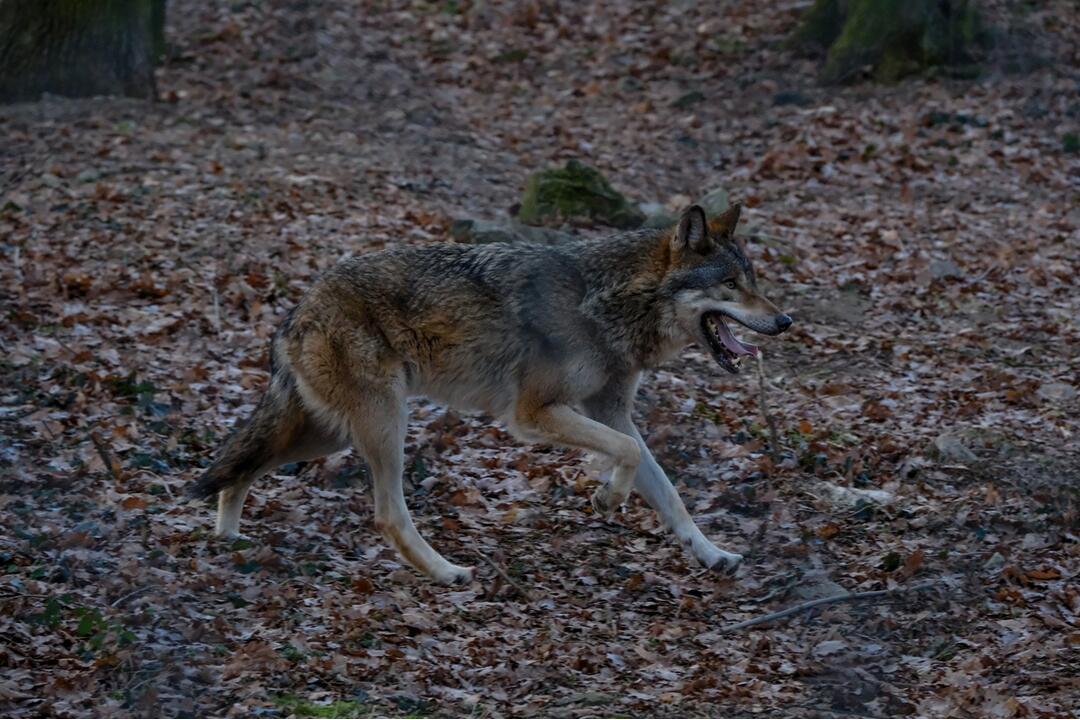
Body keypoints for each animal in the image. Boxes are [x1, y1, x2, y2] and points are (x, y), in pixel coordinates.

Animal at [185, 202, 794, 587]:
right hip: (384, 425)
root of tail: (296, 308)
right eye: (731, 285)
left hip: (326, 434)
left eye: (753, 281)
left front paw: (712, 554)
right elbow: (625, 455)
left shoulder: (613, 412)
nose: (785, 321)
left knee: (241, 467)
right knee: (387, 515)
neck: (610, 303)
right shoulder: (532, 414)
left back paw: (229, 540)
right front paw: (608, 499)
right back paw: (446, 572)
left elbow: (669, 493)